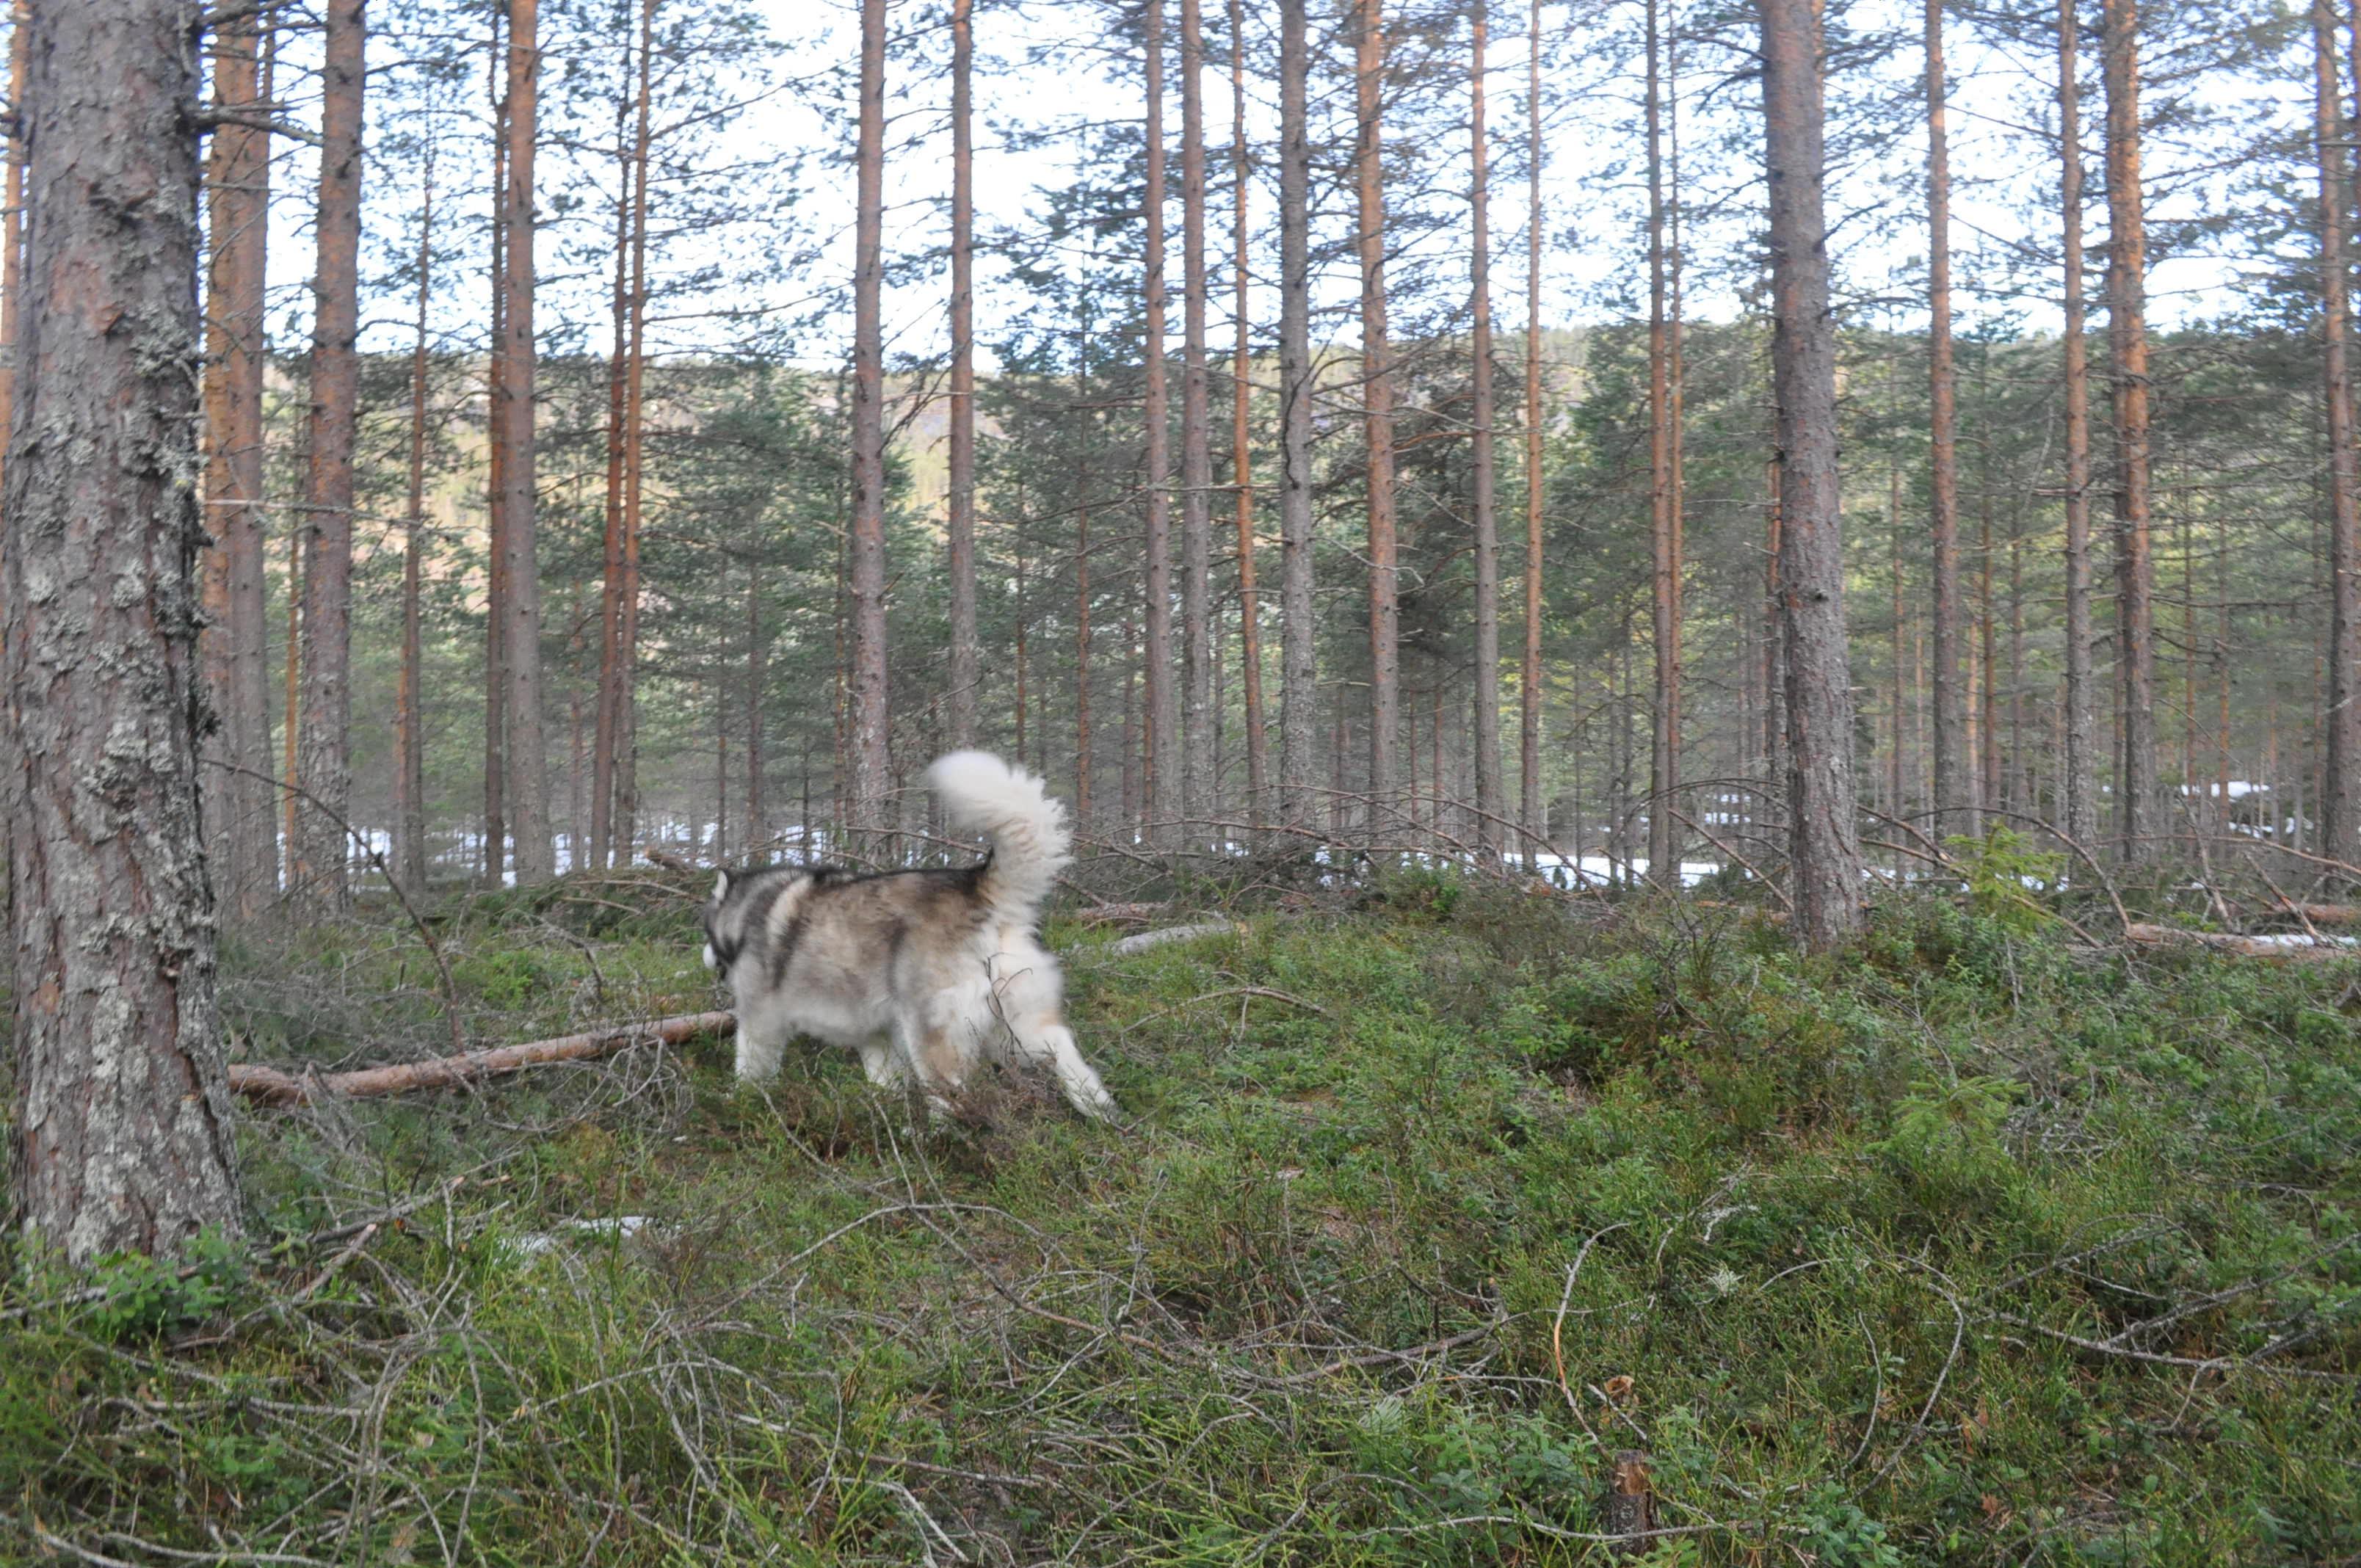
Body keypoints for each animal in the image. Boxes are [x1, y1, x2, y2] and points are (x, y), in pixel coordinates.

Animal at [702, 751, 1120, 1122]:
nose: (705, 956)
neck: (747, 910)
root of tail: (975, 886)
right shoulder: (877, 1036)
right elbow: (884, 1084)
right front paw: (885, 1118)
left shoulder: (760, 1018)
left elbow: (751, 1068)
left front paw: (738, 1103)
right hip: (1015, 1028)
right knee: (1062, 1048)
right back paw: (1098, 1110)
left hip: (934, 1033)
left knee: (951, 1099)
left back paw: (941, 1142)